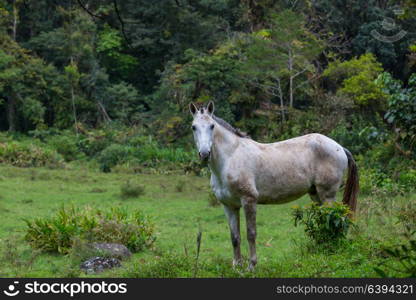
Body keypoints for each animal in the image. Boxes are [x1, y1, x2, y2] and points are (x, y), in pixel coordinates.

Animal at [188, 101, 358, 270]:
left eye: (212, 126)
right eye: (194, 127)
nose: (204, 154)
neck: (230, 158)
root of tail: (339, 147)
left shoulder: (249, 200)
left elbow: (251, 233)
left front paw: (251, 266)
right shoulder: (229, 206)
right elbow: (235, 237)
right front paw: (236, 266)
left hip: (327, 195)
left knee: (335, 220)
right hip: (316, 194)